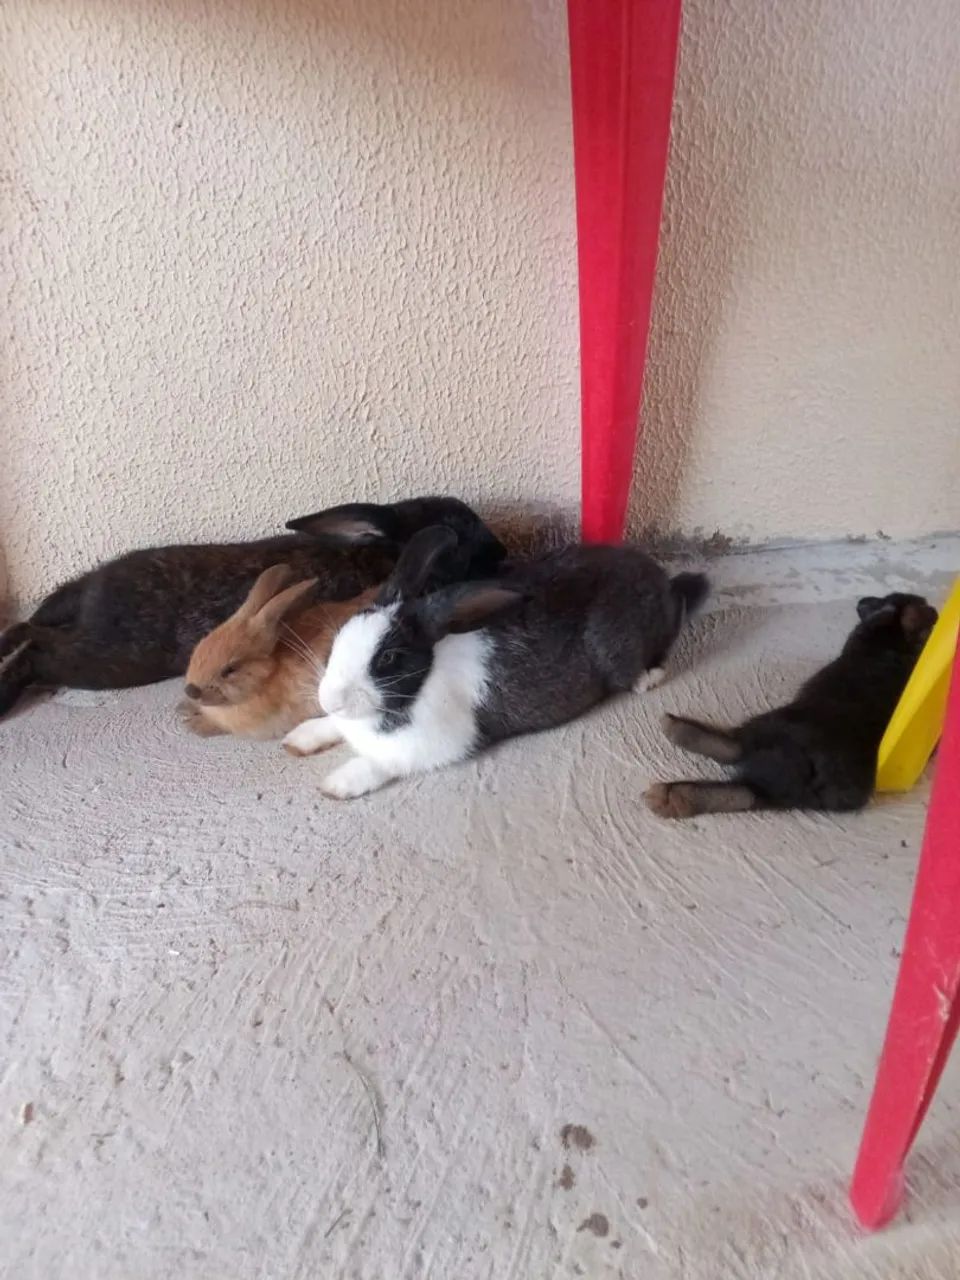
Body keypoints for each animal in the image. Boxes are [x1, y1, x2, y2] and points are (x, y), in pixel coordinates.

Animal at [0, 495, 506, 716]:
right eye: (457, 531)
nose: (502, 553)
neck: (381, 557)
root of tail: (89, 589)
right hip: (109, 659)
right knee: (37, 647)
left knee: (31, 633)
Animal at [180, 565, 379, 740]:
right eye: (198, 647)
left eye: (230, 669)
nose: (191, 691)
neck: (267, 679)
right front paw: (183, 708)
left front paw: (196, 725)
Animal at [281, 525, 709, 799]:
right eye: (339, 636)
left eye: (387, 657)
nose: (330, 699)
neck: (420, 684)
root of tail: (662, 582)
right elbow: (331, 728)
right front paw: (299, 739)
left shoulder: (436, 746)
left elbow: (381, 764)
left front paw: (337, 784)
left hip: (624, 650)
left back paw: (648, 676)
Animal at [645, 592, 938, 819]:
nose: (934, 608)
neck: (893, 644)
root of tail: (813, 766)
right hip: (785, 772)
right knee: (743, 780)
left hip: (775, 736)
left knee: (739, 760)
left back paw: (674, 766)